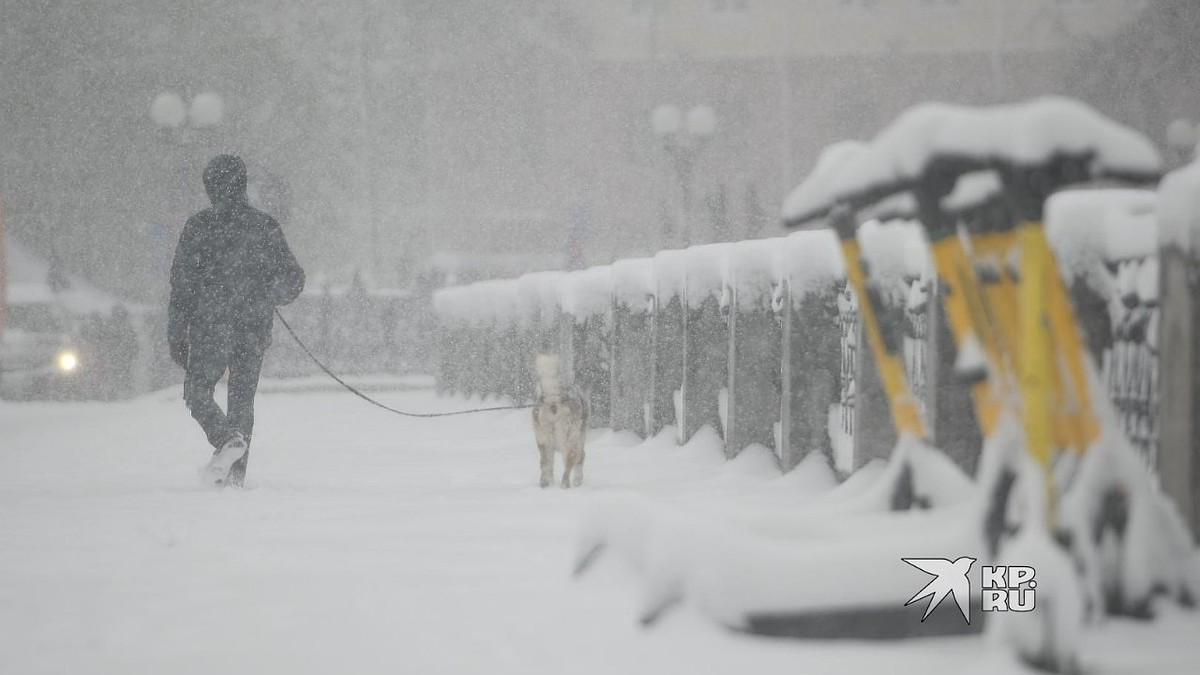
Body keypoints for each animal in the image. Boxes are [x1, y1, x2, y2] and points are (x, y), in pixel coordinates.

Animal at [535, 353, 590, 487]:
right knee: (569, 463)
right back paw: (566, 485)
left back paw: (546, 484)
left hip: (543, 442)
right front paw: (578, 481)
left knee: (545, 464)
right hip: (570, 439)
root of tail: (554, 399)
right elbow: (580, 460)